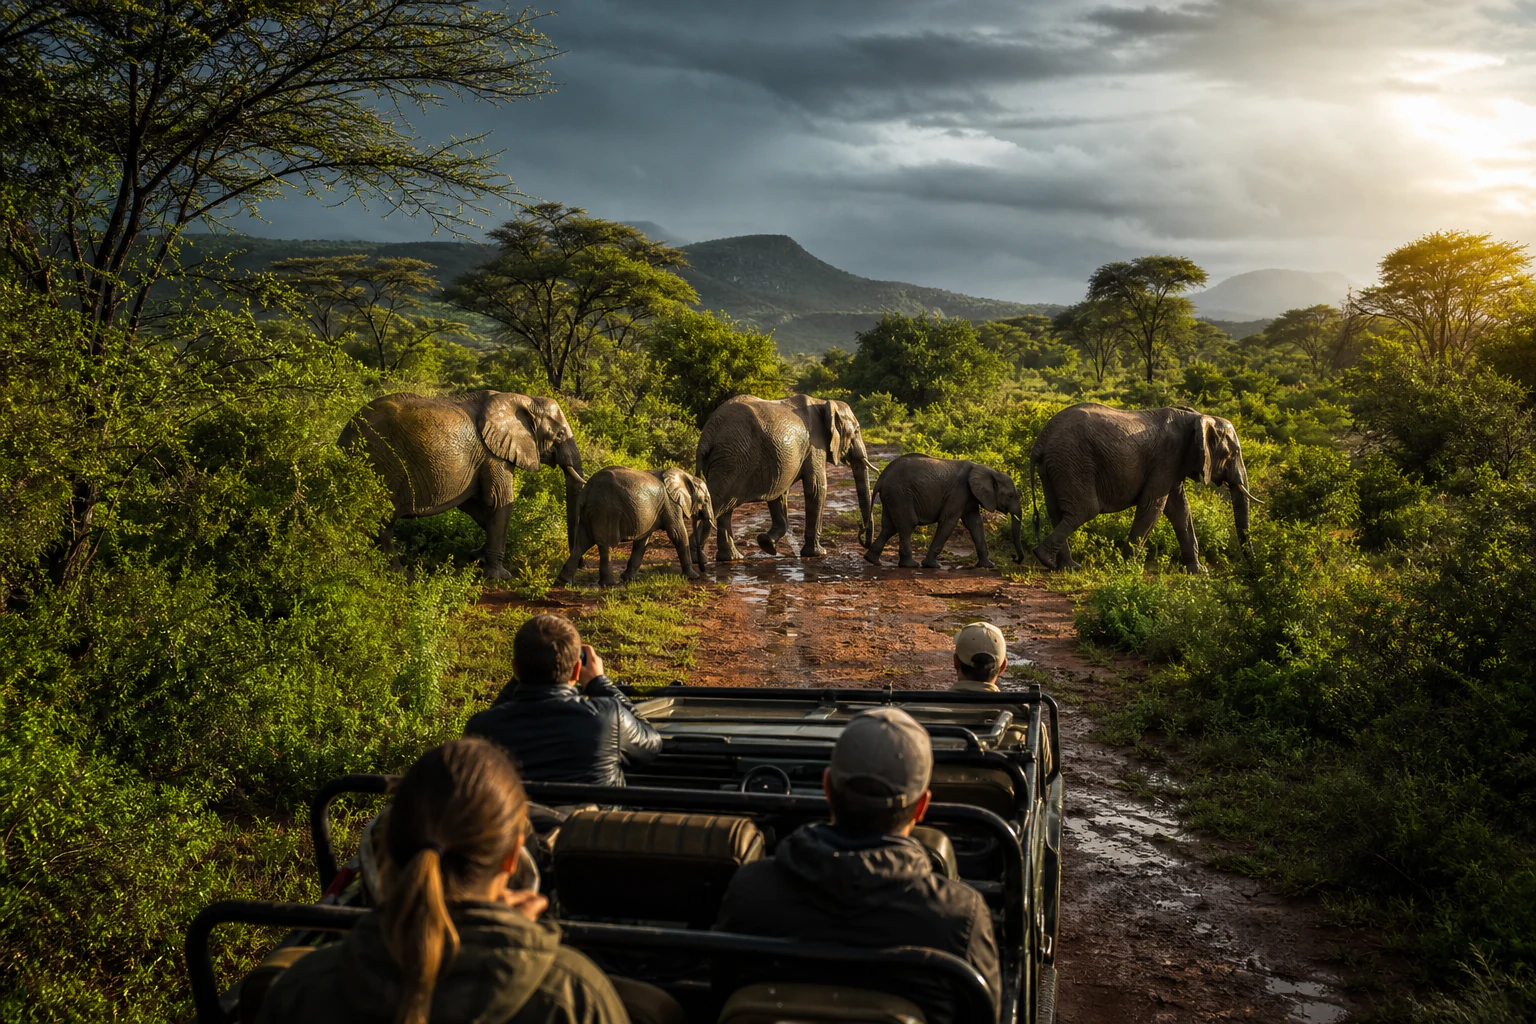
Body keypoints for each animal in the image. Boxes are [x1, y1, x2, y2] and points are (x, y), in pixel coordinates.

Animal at [341, 390, 585, 580]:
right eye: (559, 435)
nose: (580, 565)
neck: (523, 399)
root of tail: (344, 437)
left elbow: (477, 506)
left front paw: (476, 555)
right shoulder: (494, 455)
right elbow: (499, 502)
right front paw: (499, 576)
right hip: (383, 463)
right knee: (382, 521)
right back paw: (400, 576)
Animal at [556, 466, 715, 587]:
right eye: (706, 500)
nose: (702, 568)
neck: (687, 477)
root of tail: (586, 491)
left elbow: (642, 542)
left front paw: (628, 578)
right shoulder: (671, 504)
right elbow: (678, 534)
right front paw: (693, 577)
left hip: (589, 513)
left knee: (581, 544)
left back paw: (563, 581)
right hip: (605, 511)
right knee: (606, 545)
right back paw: (609, 584)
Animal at [696, 394, 874, 563]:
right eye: (856, 432)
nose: (861, 533)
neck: (823, 403)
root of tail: (708, 434)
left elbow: (779, 493)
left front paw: (766, 544)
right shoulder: (815, 444)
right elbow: (816, 487)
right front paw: (818, 554)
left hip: (729, 459)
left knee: (724, 507)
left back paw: (731, 558)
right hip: (734, 458)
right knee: (717, 503)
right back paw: (700, 559)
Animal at [863, 454, 1027, 569]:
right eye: (1011, 496)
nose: (1015, 559)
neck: (988, 470)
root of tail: (881, 477)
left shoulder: (969, 496)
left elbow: (975, 523)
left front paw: (988, 565)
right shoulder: (959, 491)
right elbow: (949, 521)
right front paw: (932, 565)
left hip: (892, 496)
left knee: (889, 527)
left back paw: (872, 560)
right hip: (900, 494)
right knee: (907, 525)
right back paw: (910, 565)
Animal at [1029, 403, 1257, 572]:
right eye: (1235, 452)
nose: (1251, 569)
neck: (1196, 417)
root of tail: (1041, 440)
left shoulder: (1174, 464)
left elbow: (1180, 510)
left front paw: (1199, 572)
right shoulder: (1166, 459)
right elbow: (1153, 506)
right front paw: (1127, 570)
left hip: (1054, 466)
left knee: (1057, 512)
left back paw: (1065, 566)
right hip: (1072, 461)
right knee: (1084, 510)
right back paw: (1048, 560)